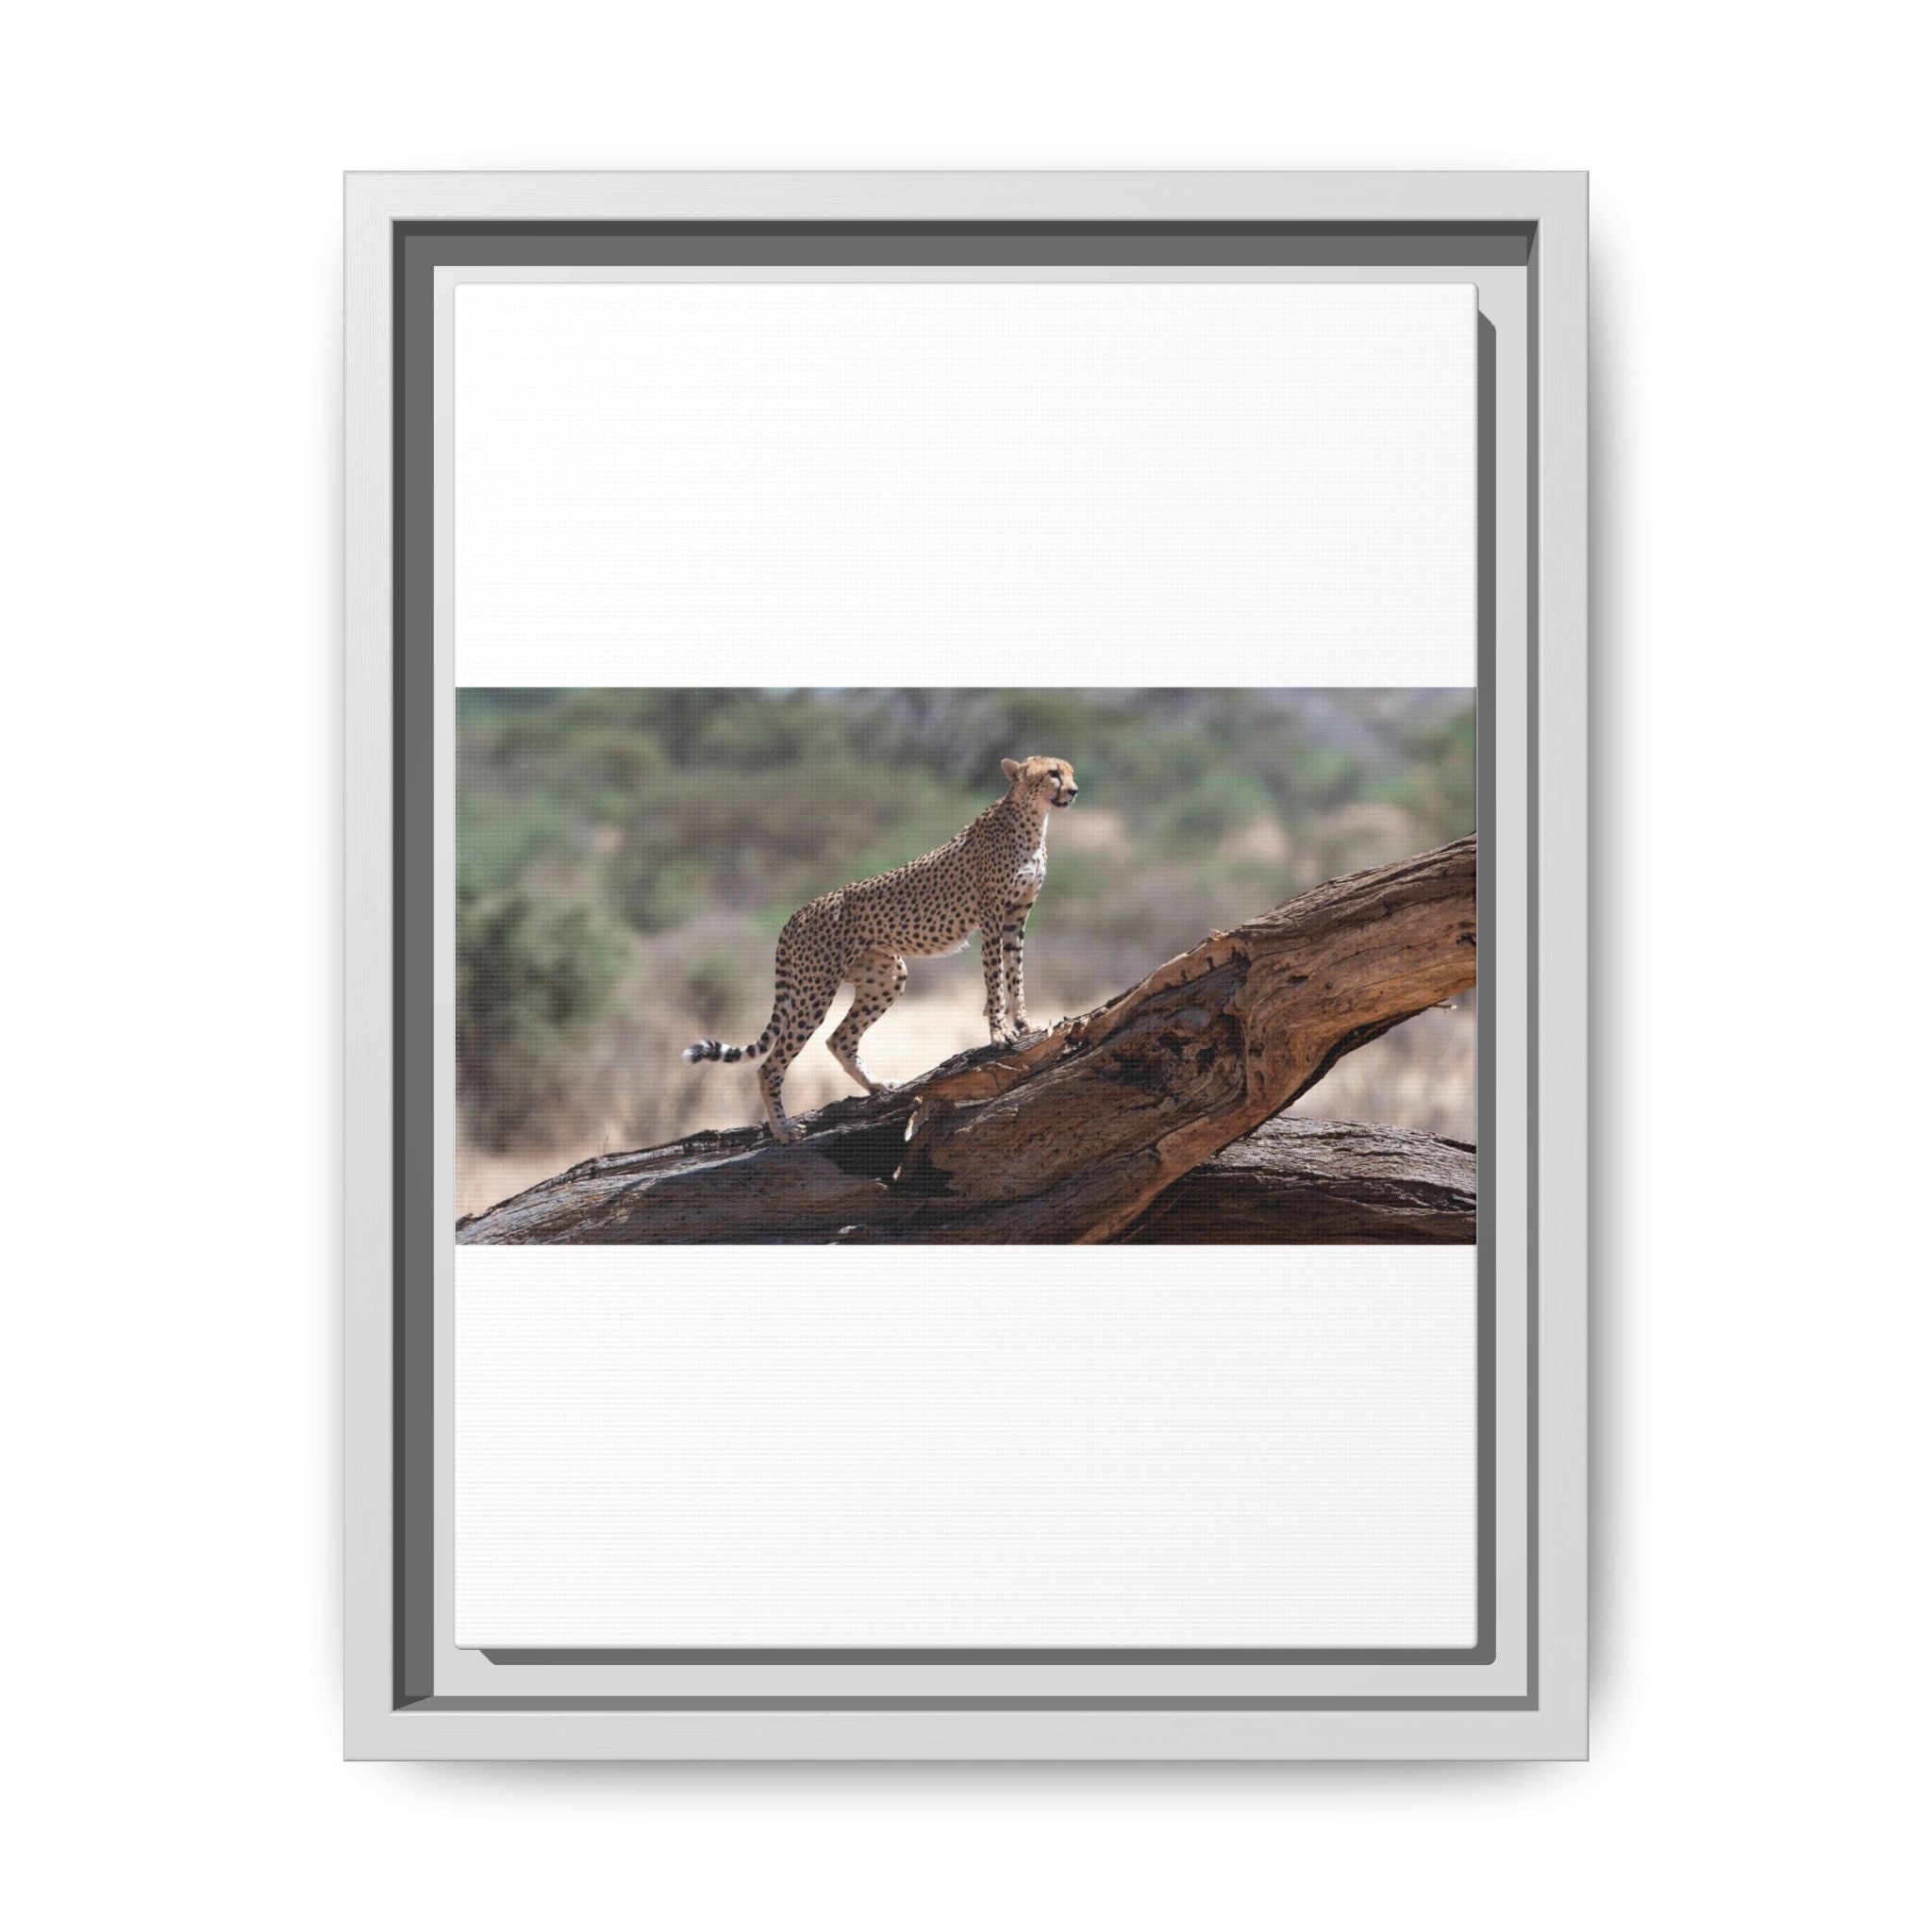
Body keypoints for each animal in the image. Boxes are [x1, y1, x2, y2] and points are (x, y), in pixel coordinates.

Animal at [683, 754, 1080, 1143]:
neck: (1032, 819)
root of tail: (797, 913)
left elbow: (1015, 973)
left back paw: (876, 1086)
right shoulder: (992, 918)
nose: (1074, 790)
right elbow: (995, 979)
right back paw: (783, 1129)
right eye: (1053, 773)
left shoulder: (1016, 918)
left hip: (886, 975)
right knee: (771, 1064)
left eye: (1070, 772)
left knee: (839, 1039)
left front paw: (1024, 1023)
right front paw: (999, 1033)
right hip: (815, 989)